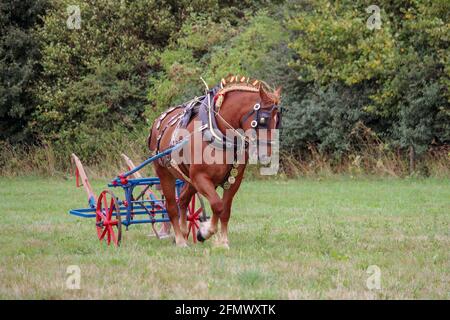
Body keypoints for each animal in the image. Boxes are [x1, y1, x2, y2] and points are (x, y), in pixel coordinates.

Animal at [148, 75, 282, 248]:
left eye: (278, 121)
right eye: (264, 119)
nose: (267, 155)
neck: (218, 133)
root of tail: (158, 121)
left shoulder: (233, 180)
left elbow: (225, 210)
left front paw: (223, 241)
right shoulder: (200, 177)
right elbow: (217, 205)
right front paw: (205, 232)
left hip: (189, 179)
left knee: (183, 200)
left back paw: (184, 232)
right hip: (165, 173)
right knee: (171, 206)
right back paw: (180, 239)